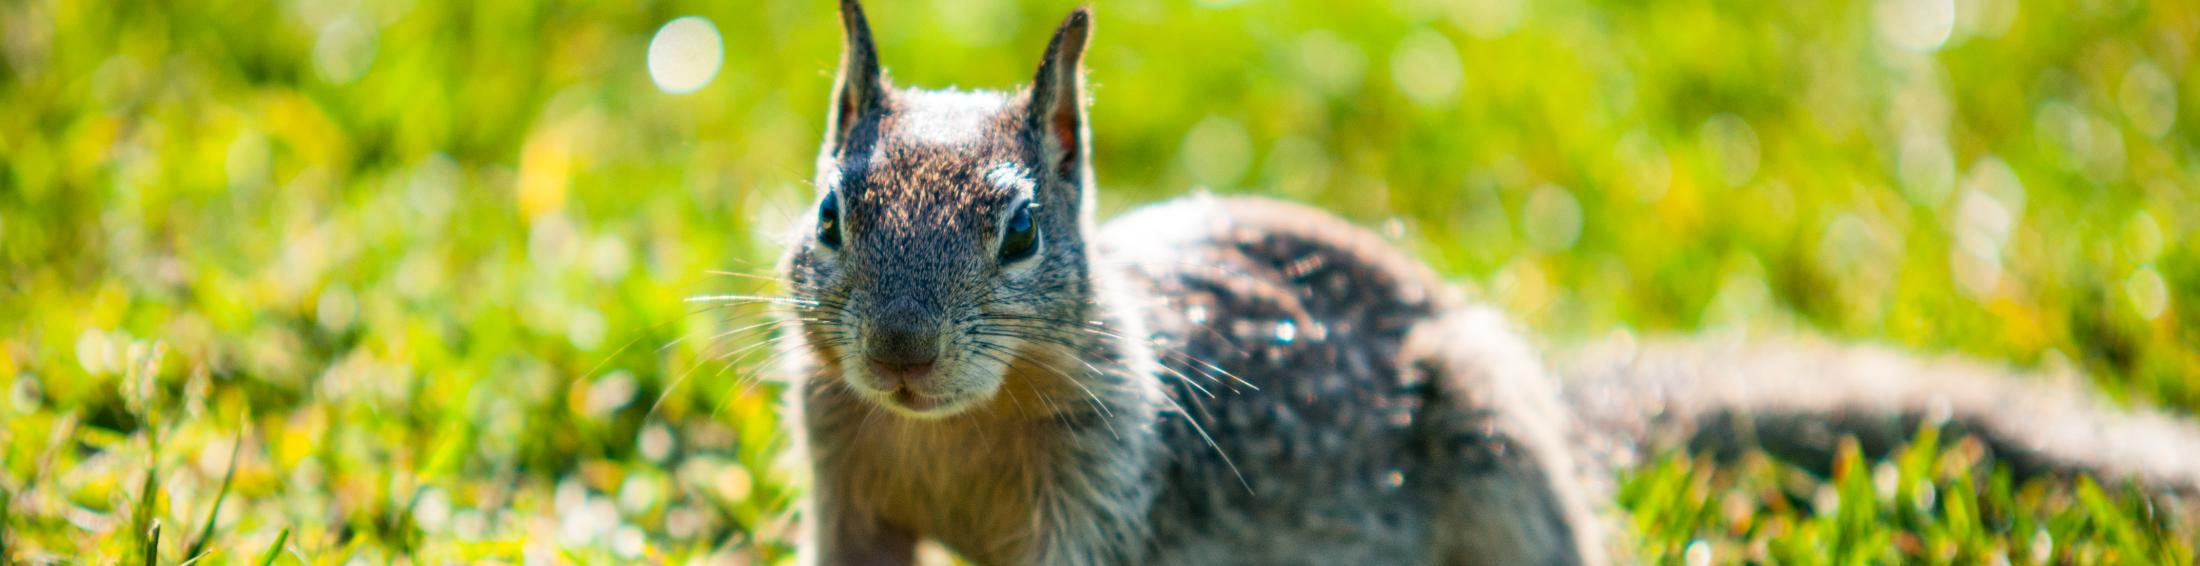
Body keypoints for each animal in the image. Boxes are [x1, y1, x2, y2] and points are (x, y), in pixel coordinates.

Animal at [774, 2, 2200, 561]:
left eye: (1021, 234)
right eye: (832, 212)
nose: (899, 355)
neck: (946, 434)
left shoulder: (1096, 504)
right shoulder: (847, 482)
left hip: (1502, 465)